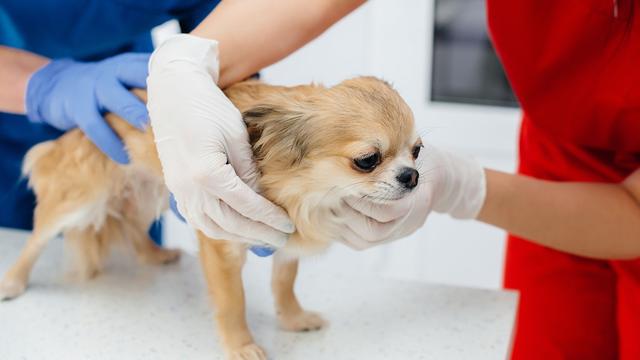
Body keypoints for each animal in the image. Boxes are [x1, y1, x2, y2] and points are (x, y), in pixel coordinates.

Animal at [0, 77, 422, 358]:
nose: (413, 176)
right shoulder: (222, 245)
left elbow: (284, 283)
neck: (306, 194)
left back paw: (155, 255)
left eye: (417, 150)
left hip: (150, 192)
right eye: (367, 160)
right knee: (38, 237)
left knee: (133, 227)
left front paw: (292, 318)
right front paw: (242, 346)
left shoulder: (286, 241)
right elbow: (233, 303)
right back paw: (14, 281)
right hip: (80, 199)